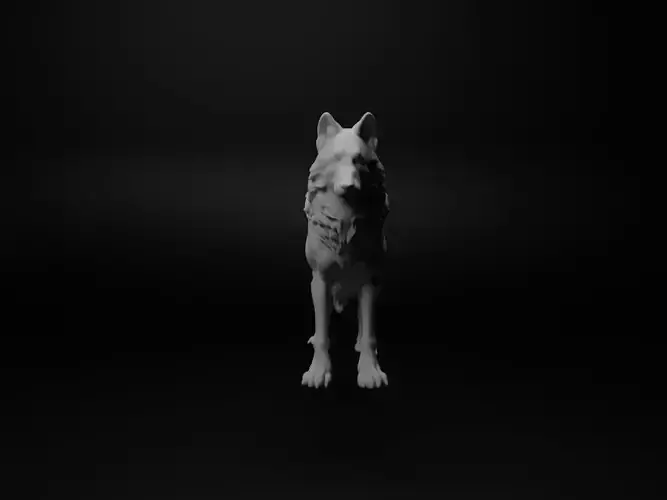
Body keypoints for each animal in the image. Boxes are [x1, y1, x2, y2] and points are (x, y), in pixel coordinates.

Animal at [301, 111, 390, 389]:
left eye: (359, 160)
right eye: (337, 159)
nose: (350, 186)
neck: (345, 224)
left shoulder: (369, 281)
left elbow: (369, 333)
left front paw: (370, 371)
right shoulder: (320, 280)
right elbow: (322, 334)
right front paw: (319, 372)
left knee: (363, 326)